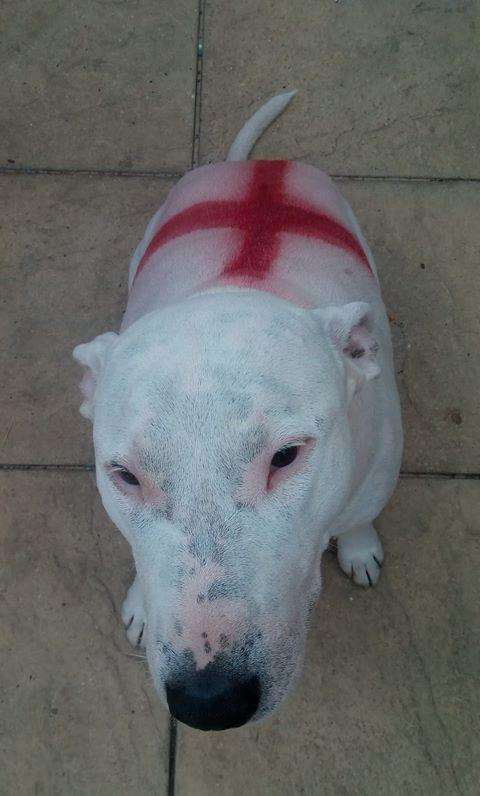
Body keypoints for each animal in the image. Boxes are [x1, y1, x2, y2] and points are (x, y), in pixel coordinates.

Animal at [73, 91, 404, 728]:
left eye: (287, 456)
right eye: (124, 476)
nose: (209, 701)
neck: (244, 280)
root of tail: (259, 168)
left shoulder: (376, 471)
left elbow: (357, 517)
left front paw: (358, 549)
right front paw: (142, 604)